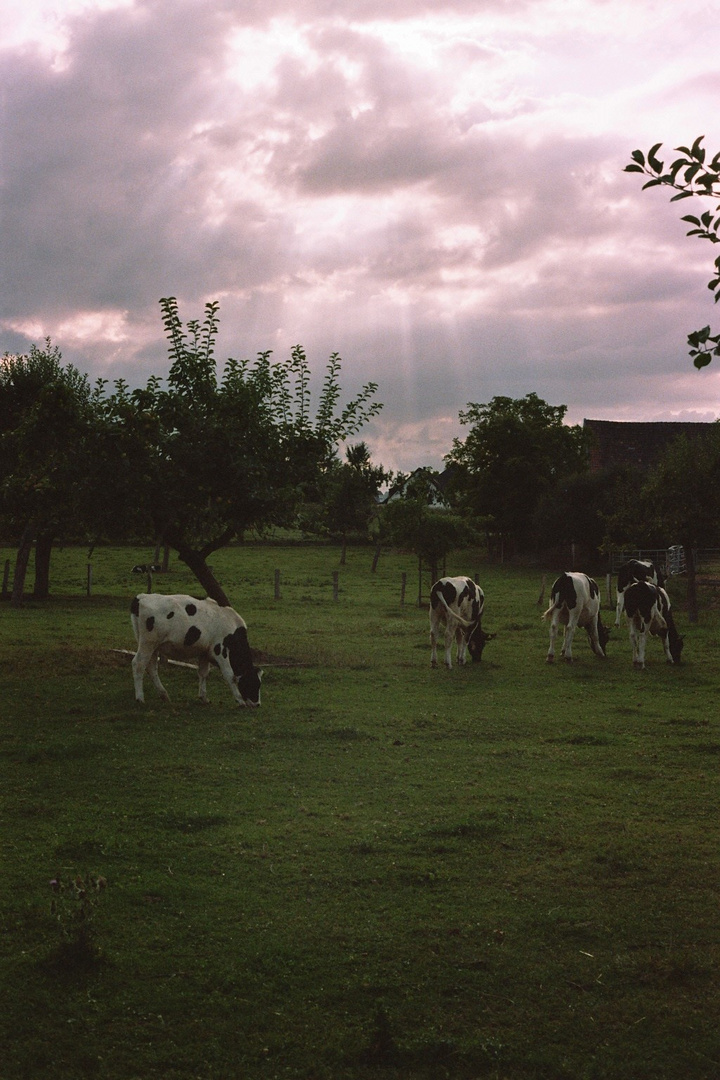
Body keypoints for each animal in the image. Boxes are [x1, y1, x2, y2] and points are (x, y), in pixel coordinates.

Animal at [131, 591, 263, 708]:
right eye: (253, 684)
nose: (257, 704)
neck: (232, 627)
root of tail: (141, 597)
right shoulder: (220, 650)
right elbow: (229, 675)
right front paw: (240, 700)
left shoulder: (205, 652)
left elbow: (203, 673)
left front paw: (204, 697)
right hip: (148, 643)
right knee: (138, 664)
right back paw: (140, 698)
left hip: (153, 646)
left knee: (151, 667)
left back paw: (164, 695)